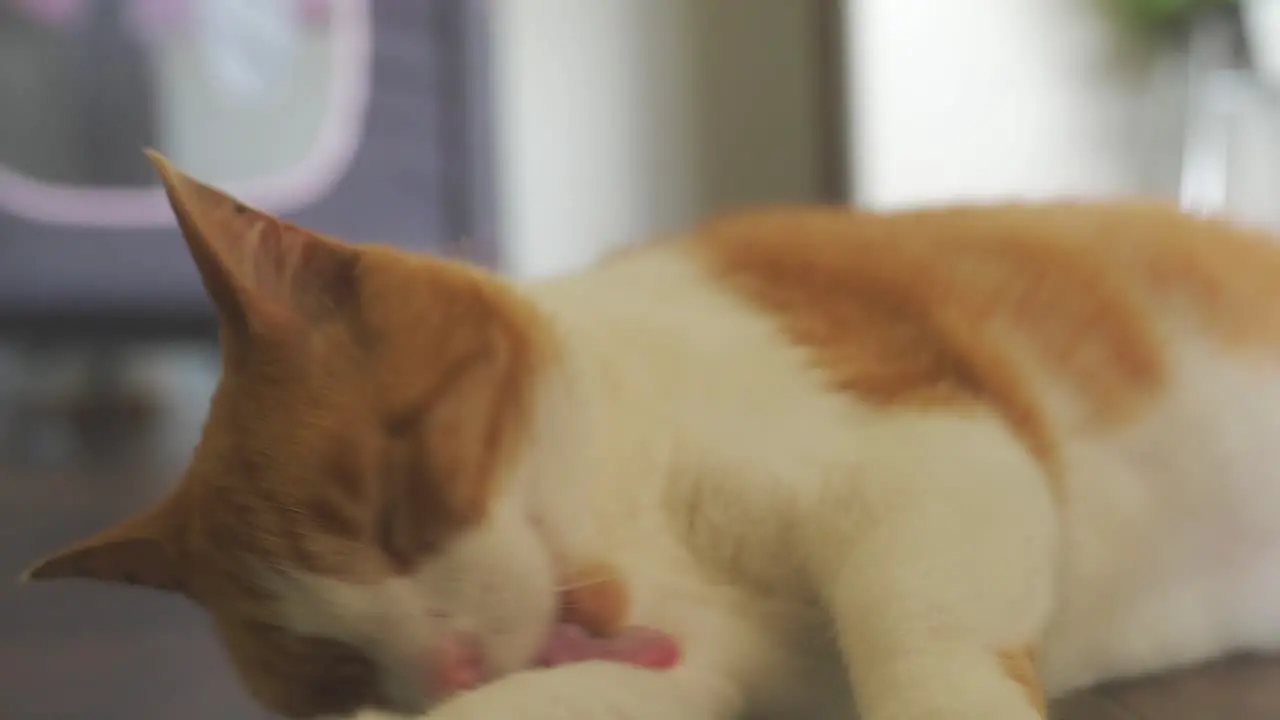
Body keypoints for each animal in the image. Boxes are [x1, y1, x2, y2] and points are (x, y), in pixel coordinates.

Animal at [24, 151, 1280, 717]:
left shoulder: (917, 439)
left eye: (390, 508)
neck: (642, 537)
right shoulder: (702, 665)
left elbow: (917, 625)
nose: (447, 663)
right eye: (329, 664)